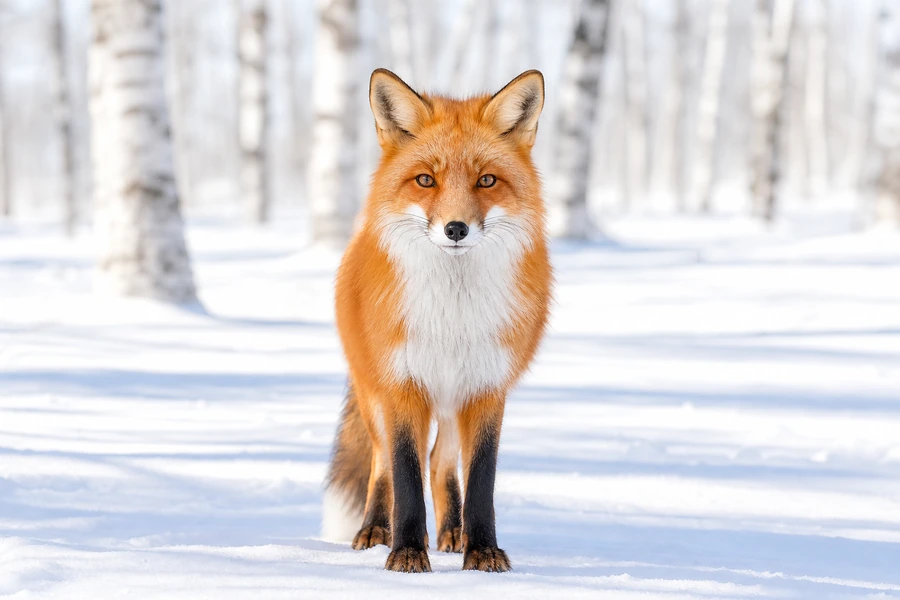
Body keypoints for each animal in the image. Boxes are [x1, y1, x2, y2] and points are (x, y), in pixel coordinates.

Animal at [322, 68, 552, 573]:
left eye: (487, 180)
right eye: (426, 179)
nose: (456, 229)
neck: (452, 316)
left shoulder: (486, 388)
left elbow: (480, 479)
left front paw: (481, 551)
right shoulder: (403, 385)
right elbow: (405, 475)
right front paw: (407, 552)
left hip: (450, 400)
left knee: (440, 462)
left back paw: (452, 532)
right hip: (374, 395)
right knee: (383, 463)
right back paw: (375, 530)